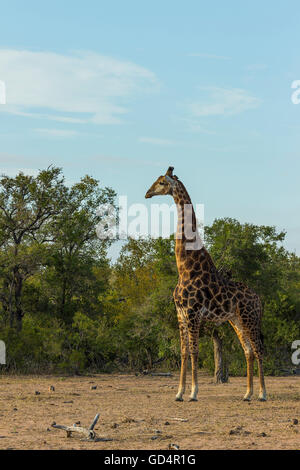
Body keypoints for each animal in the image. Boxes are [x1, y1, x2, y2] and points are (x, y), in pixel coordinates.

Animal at [145, 167, 268, 402]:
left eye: (162, 183)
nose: (147, 193)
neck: (185, 268)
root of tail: (258, 298)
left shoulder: (193, 313)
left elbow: (194, 351)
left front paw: (193, 392)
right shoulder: (180, 313)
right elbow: (183, 351)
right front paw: (179, 393)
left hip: (250, 317)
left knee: (258, 349)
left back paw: (263, 394)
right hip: (236, 320)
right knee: (248, 350)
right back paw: (247, 394)